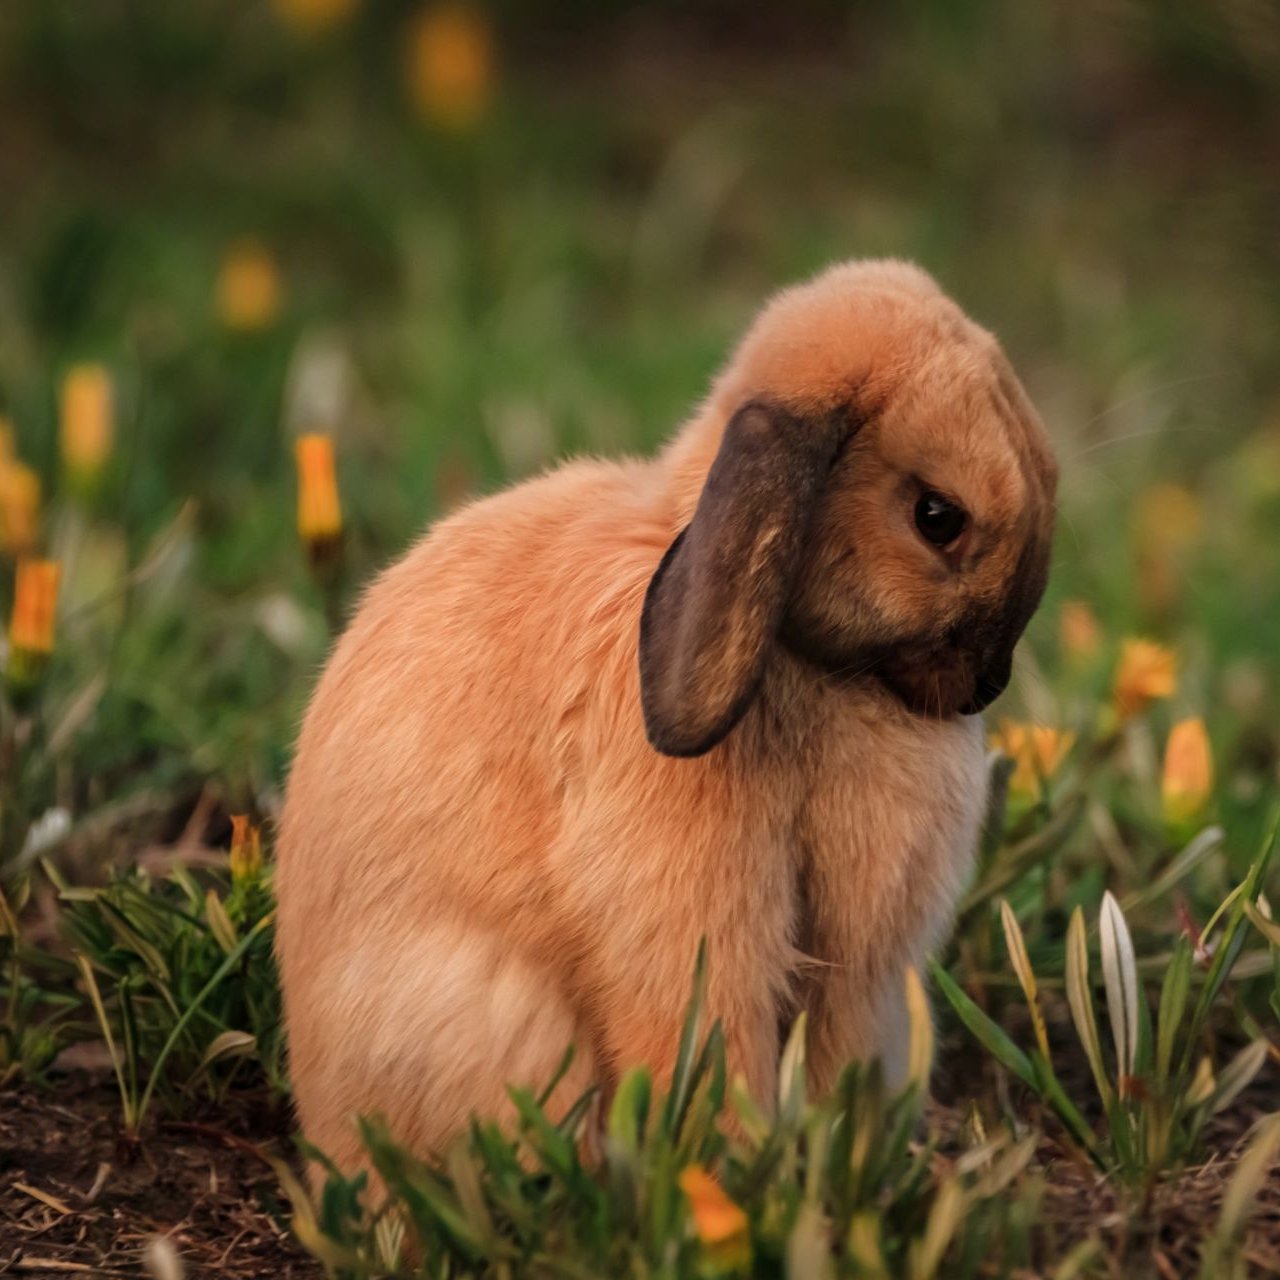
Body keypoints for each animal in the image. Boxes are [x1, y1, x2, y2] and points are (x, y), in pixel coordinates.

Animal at [277, 254, 1059, 1172]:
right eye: (938, 516)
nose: (988, 685)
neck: (813, 665)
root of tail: (322, 1126)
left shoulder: (860, 974)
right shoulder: (694, 920)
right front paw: (738, 1169)